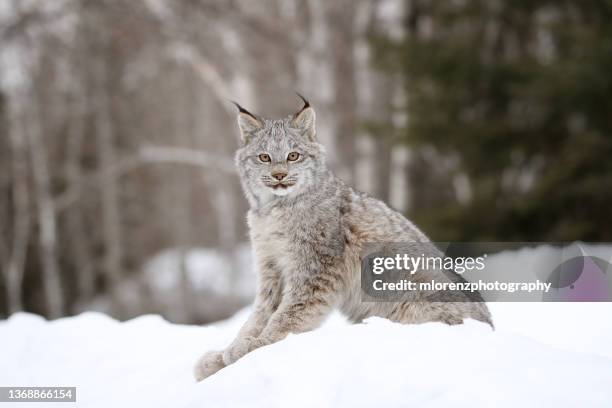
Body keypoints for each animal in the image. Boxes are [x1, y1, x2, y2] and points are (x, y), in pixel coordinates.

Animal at [194, 95, 490, 382]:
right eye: (264, 157)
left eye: (293, 156)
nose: (279, 175)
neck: (272, 209)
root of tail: (490, 326)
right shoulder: (272, 268)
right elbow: (259, 314)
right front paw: (224, 355)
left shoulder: (314, 272)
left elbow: (285, 317)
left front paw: (253, 348)